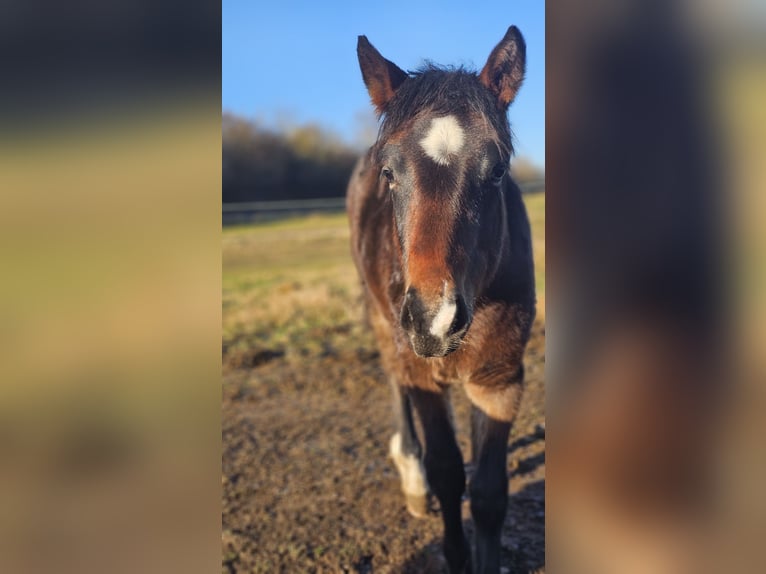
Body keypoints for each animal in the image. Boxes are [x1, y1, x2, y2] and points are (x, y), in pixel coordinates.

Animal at [346, 26, 536, 574]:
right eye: (389, 172)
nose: (436, 319)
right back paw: (412, 476)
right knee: (394, 379)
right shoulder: (424, 374)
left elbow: (490, 494)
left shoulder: (499, 380)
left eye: (497, 171)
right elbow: (449, 472)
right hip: (384, 322)